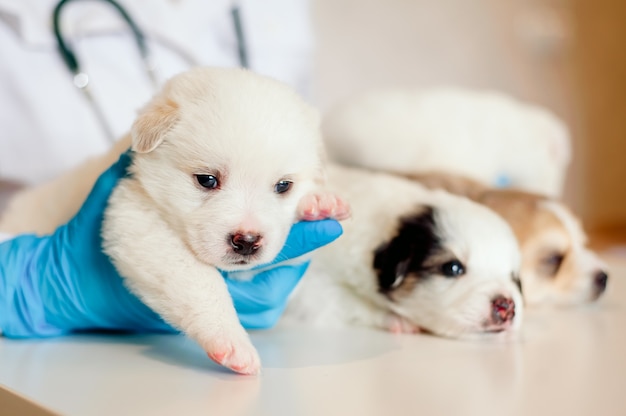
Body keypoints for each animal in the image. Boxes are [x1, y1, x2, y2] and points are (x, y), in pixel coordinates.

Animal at [0, 67, 352, 374]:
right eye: (207, 180)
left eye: (283, 186)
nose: (247, 242)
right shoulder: (134, 219)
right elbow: (200, 283)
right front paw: (232, 341)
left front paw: (320, 202)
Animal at [280, 164, 520, 340]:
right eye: (452, 268)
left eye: (514, 278)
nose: (506, 306)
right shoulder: (311, 281)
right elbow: (341, 298)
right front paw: (396, 319)